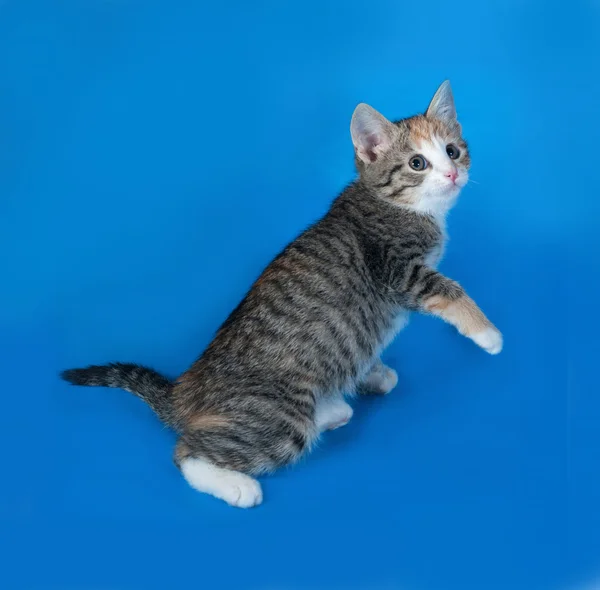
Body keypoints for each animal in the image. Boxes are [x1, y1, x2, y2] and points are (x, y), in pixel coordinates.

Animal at [61, 82, 502, 508]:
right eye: (417, 164)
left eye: (452, 151)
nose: (452, 174)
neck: (405, 208)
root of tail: (185, 391)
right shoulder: (397, 270)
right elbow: (448, 289)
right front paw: (486, 333)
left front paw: (373, 372)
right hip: (279, 417)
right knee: (187, 451)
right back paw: (237, 485)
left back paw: (334, 406)